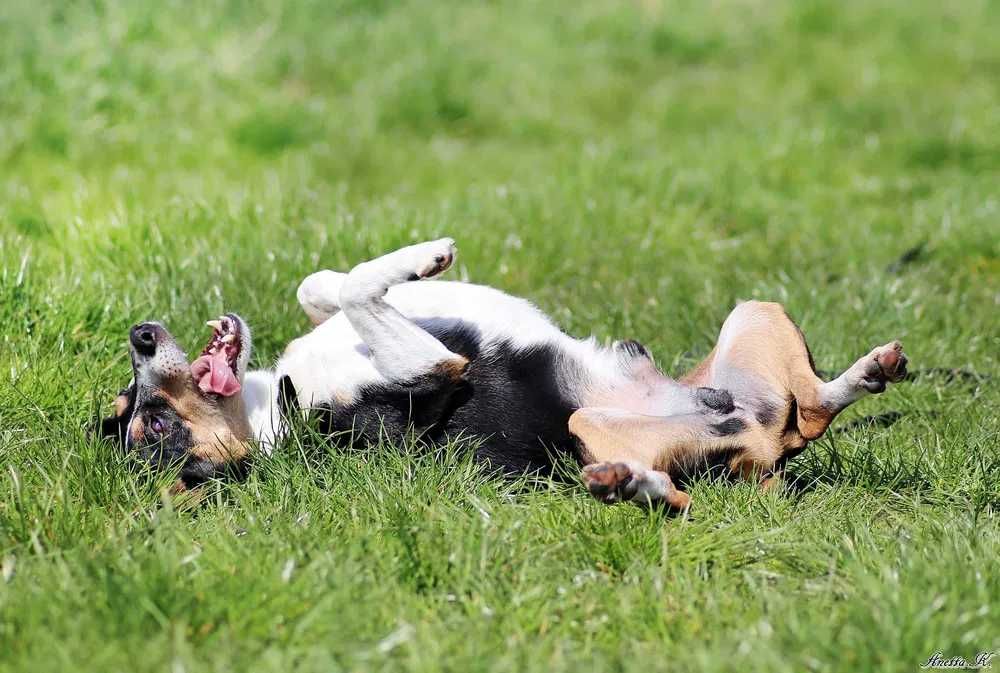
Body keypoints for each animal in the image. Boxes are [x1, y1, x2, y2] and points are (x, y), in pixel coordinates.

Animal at [99, 239, 908, 506]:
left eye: (137, 407)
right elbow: (362, 286)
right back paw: (626, 486)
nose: (140, 335)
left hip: (754, 313)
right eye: (155, 427)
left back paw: (870, 372)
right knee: (682, 492)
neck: (286, 405)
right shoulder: (438, 367)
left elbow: (321, 285)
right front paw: (424, 254)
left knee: (811, 405)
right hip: (589, 429)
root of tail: (761, 458)